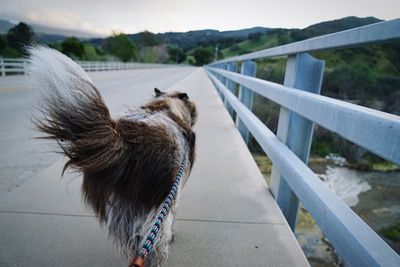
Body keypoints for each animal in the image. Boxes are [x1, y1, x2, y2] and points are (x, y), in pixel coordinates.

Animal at [28, 47, 197, 266]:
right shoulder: (174, 195)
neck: (167, 106)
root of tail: (126, 142)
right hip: (154, 210)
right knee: (154, 247)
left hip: (120, 211)